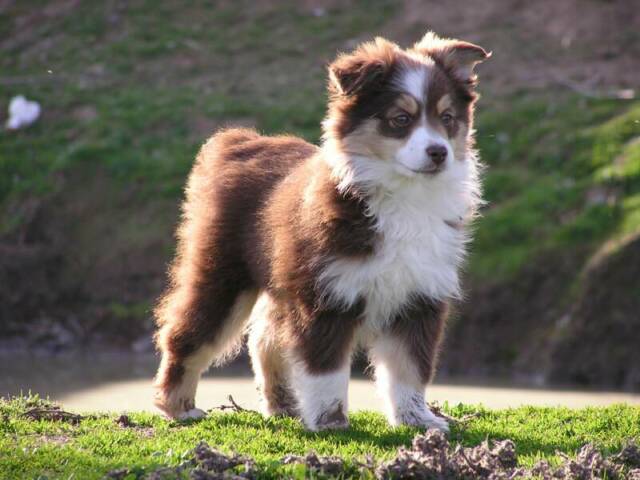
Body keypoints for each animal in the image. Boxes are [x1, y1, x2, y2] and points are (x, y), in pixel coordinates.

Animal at [152, 32, 488, 432]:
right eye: (400, 119)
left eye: (447, 118)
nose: (439, 152)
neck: (404, 198)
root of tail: (240, 141)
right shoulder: (325, 296)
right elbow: (325, 370)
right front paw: (330, 421)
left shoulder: (419, 297)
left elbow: (409, 369)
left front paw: (417, 420)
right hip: (222, 273)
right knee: (186, 334)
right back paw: (177, 406)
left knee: (264, 339)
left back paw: (283, 405)